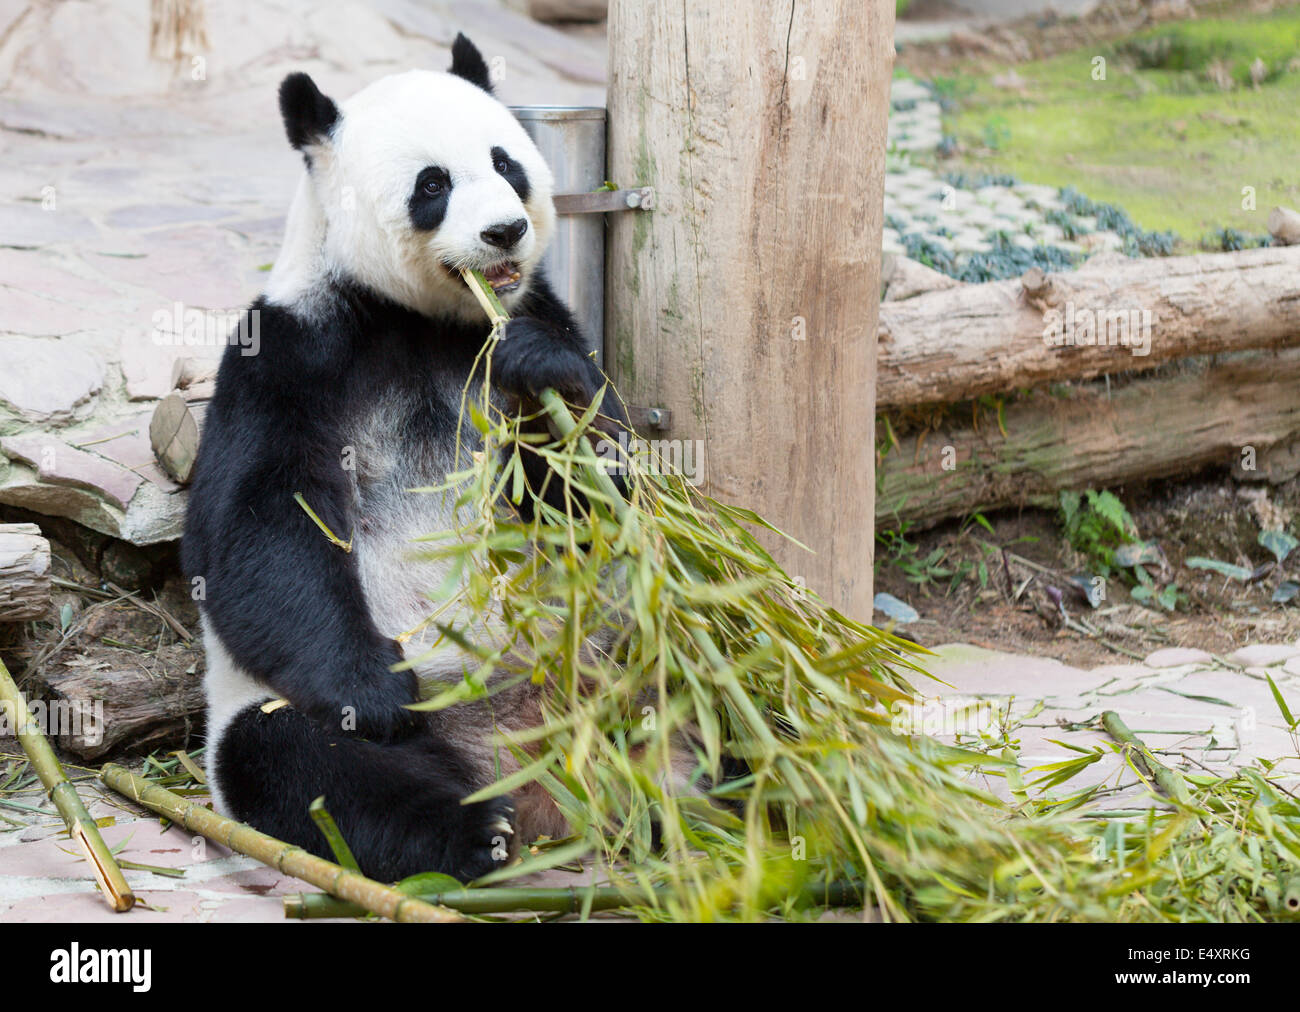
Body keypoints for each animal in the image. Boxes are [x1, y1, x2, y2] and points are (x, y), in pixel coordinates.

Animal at [182, 35, 629, 879]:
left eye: (506, 162)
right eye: (433, 184)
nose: (505, 231)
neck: (419, 317)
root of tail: (534, 775)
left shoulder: (534, 317)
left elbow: (610, 495)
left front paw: (547, 376)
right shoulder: (289, 354)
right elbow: (257, 529)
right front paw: (379, 691)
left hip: (608, 645)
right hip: (280, 711)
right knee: (308, 765)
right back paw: (476, 830)